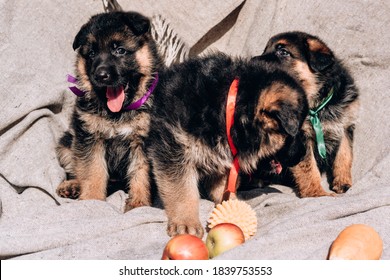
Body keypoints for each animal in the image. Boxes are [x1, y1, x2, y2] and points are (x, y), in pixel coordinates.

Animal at [55, 12, 162, 211]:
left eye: (119, 50)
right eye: (91, 54)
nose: (101, 76)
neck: (118, 113)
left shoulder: (141, 142)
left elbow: (140, 173)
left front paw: (138, 204)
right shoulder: (90, 138)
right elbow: (92, 171)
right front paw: (92, 200)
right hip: (66, 144)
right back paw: (73, 185)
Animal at [146, 52, 308, 236]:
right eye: (294, 134)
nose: (303, 154)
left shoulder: (219, 156)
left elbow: (222, 186)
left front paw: (232, 203)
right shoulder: (173, 150)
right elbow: (183, 191)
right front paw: (186, 223)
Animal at [253, 31, 360, 197]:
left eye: (283, 52)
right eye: (265, 50)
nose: (253, 61)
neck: (317, 104)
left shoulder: (345, 126)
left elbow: (344, 155)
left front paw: (342, 183)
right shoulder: (301, 140)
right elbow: (308, 167)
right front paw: (317, 193)